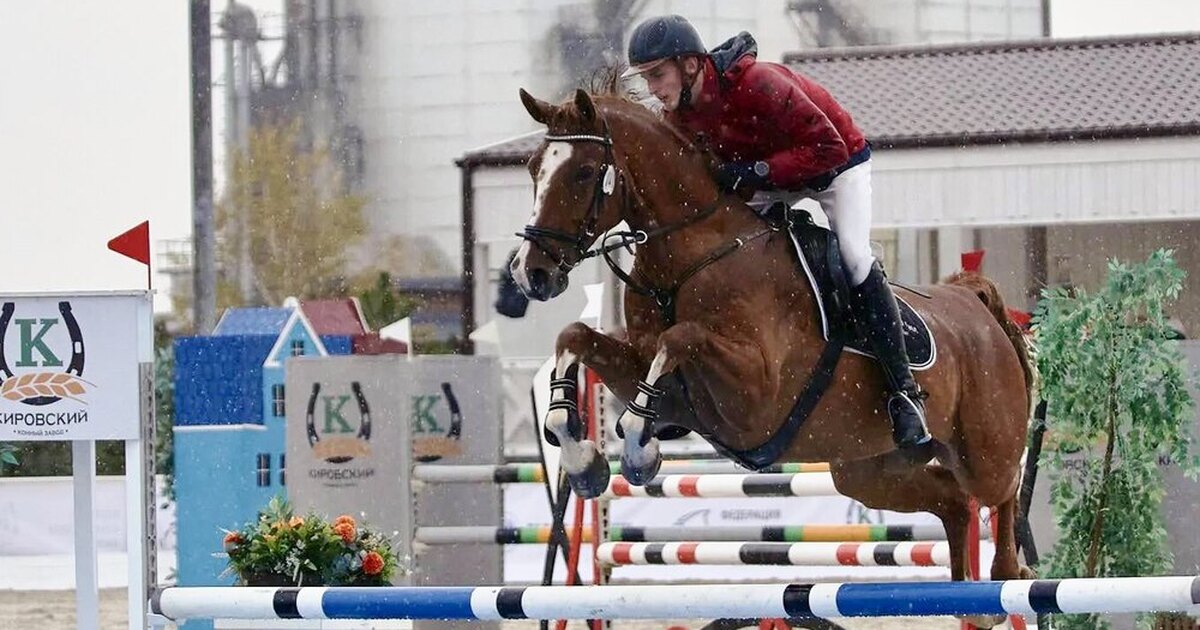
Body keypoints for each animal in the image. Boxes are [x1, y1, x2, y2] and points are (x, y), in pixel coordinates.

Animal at [511, 83, 1034, 618]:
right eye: (533, 168)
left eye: (582, 172)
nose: (530, 274)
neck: (692, 256)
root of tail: (973, 302)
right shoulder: (666, 388)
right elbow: (574, 336)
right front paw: (583, 460)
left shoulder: (755, 397)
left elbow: (680, 338)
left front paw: (638, 449)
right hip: (867, 470)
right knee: (951, 500)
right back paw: (973, 602)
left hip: (983, 452)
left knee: (1002, 488)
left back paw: (1009, 572)